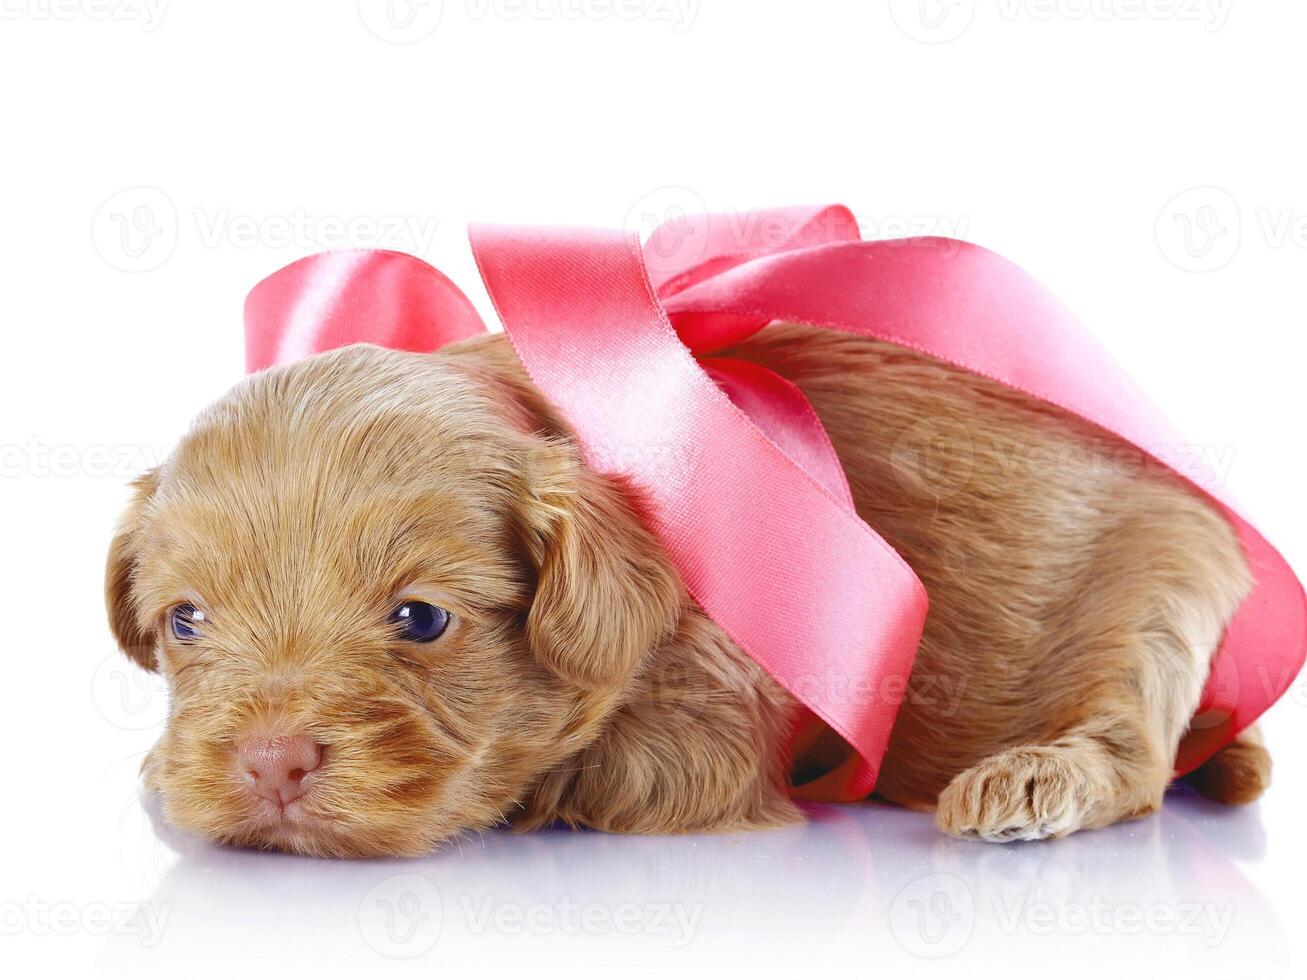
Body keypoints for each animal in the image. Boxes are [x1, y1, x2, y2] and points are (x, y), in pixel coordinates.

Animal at [107, 326, 1270, 857]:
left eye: (421, 618)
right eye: (185, 620)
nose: (266, 761)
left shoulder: (705, 725)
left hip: (1157, 599)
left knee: (1135, 752)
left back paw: (1030, 780)